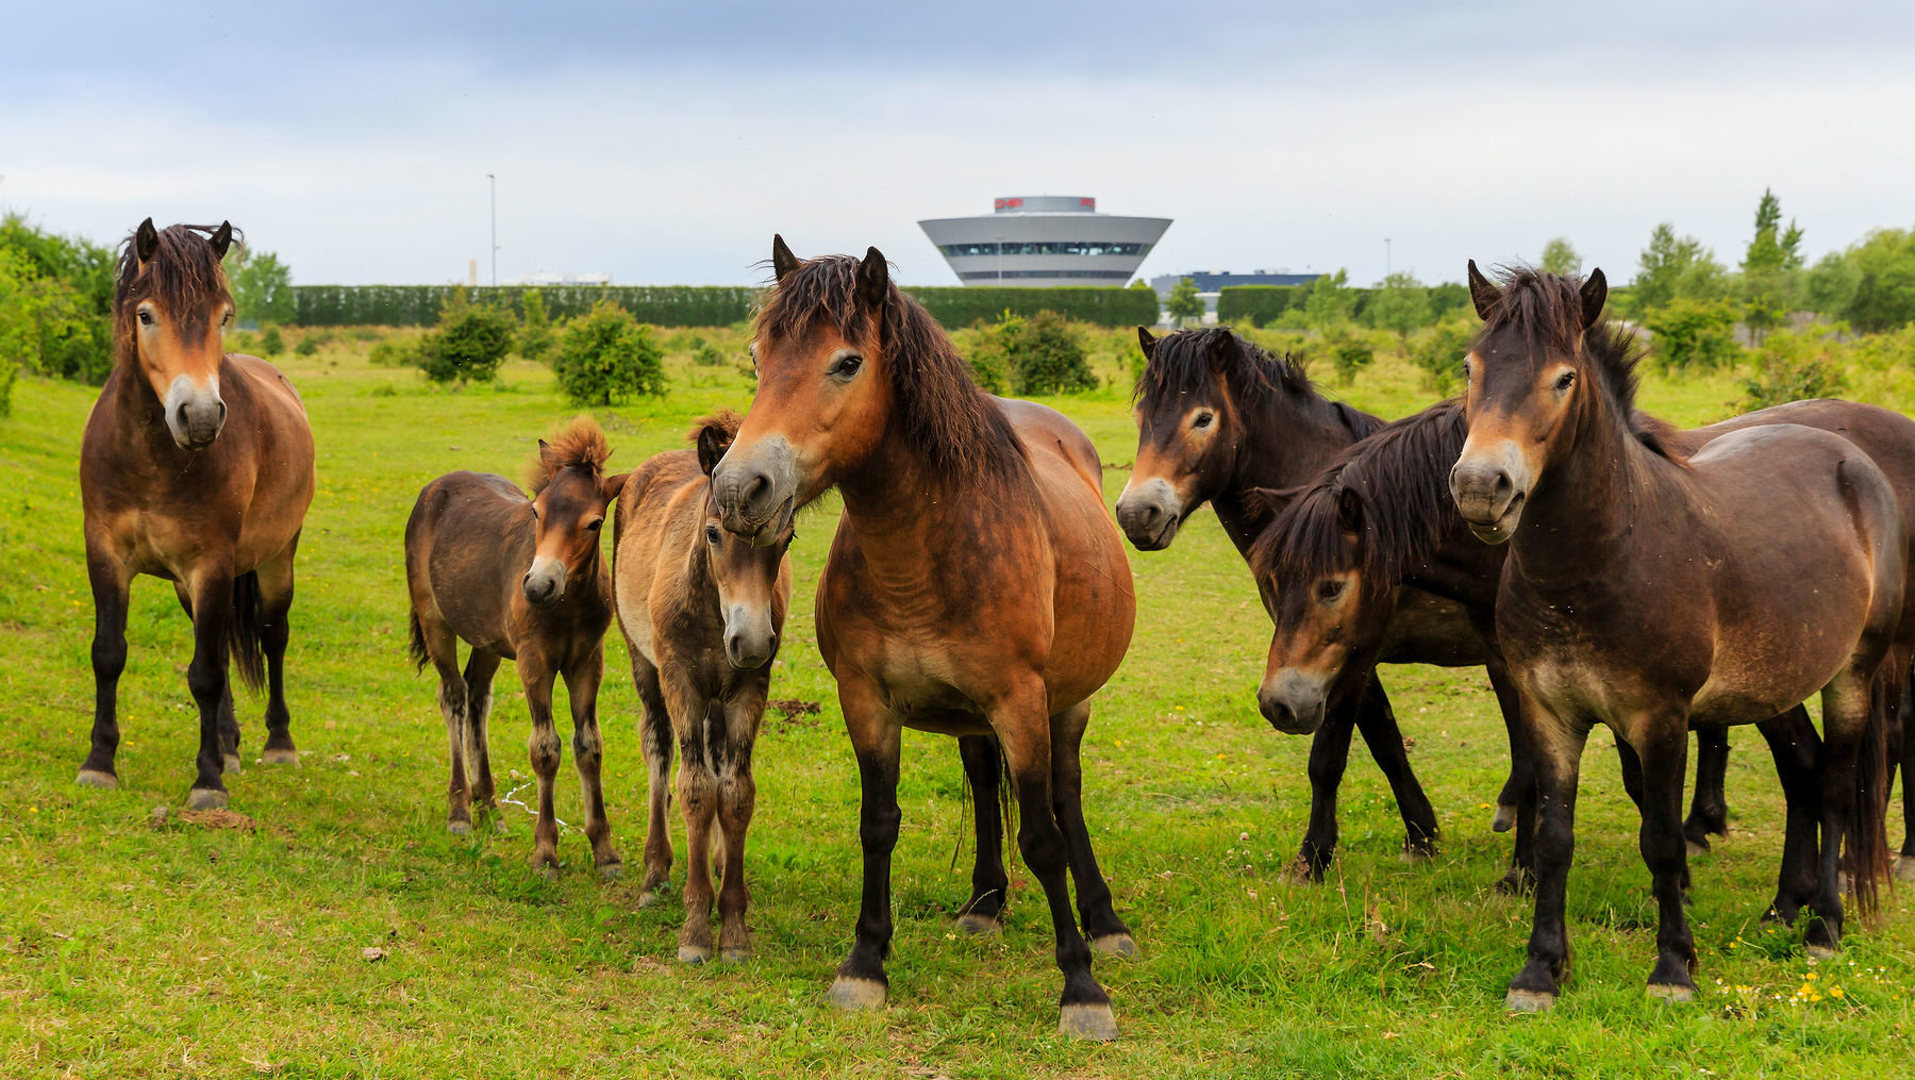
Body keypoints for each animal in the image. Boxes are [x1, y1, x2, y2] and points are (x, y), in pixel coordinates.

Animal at [77, 219, 314, 811]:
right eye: (146, 315)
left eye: (222, 316)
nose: (201, 417)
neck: (151, 459)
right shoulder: (106, 555)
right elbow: (109, 653)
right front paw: (99, 763)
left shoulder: (211, 564)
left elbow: (204, 673)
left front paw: (208, 782)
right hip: (194, 586)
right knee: (226, 648)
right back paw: (229, 745)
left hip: (276, 559)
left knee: (273, 636)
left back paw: (278, 744)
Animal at [404, 417, 628, 873]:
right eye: (537, 511)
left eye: (595, 523)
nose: (539, 586)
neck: (567, 606)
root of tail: (434, 488)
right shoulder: (533, 661)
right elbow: (545, 749)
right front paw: (545, 853)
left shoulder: (587, 662)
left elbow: (589, 745)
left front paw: (605, 851)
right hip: (436, 622)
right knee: (453, 696)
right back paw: (460, 812)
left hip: (488, 640)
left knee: (477, 699)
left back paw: (490, 808)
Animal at [612, 407, 792, 961]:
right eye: (713, 534)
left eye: (787, 539)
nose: (750, 640)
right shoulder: (682, 682)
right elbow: (693, 789)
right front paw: (695, 929)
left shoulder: (749, 689)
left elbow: (735, 793)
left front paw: (732, 926)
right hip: (644, 665)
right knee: (658, 747)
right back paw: (654, 874)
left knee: (716, 761)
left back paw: (712, 860)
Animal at [716, 238, 1133, 1034]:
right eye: (757, 358)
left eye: (846, 362)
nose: (736, 489)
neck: (926, 553)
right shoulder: (866, 701)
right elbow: (878, 822)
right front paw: (864, 964)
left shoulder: (1021, 702)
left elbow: (1043, 837)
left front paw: (1081, 989)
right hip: (978, 716)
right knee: (983, 777)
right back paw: (985, 903)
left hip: (1067, 702)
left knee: (1066, 798)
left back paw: (1104, 922)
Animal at [1447, 266, 1899, 1011]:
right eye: (1469, 368)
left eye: (1563, 379)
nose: (1483, 487)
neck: (1600, 559)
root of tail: (1852, 461)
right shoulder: (1551, 715)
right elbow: (1554, 839)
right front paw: (1540, 971)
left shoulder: (1659, 720)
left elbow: (1661, 841)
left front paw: (1672, 968)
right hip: (1776, 684)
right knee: (1803, 774)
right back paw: (1786, 907)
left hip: (1852, 674)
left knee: (1835, 786)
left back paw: (1824, 926)